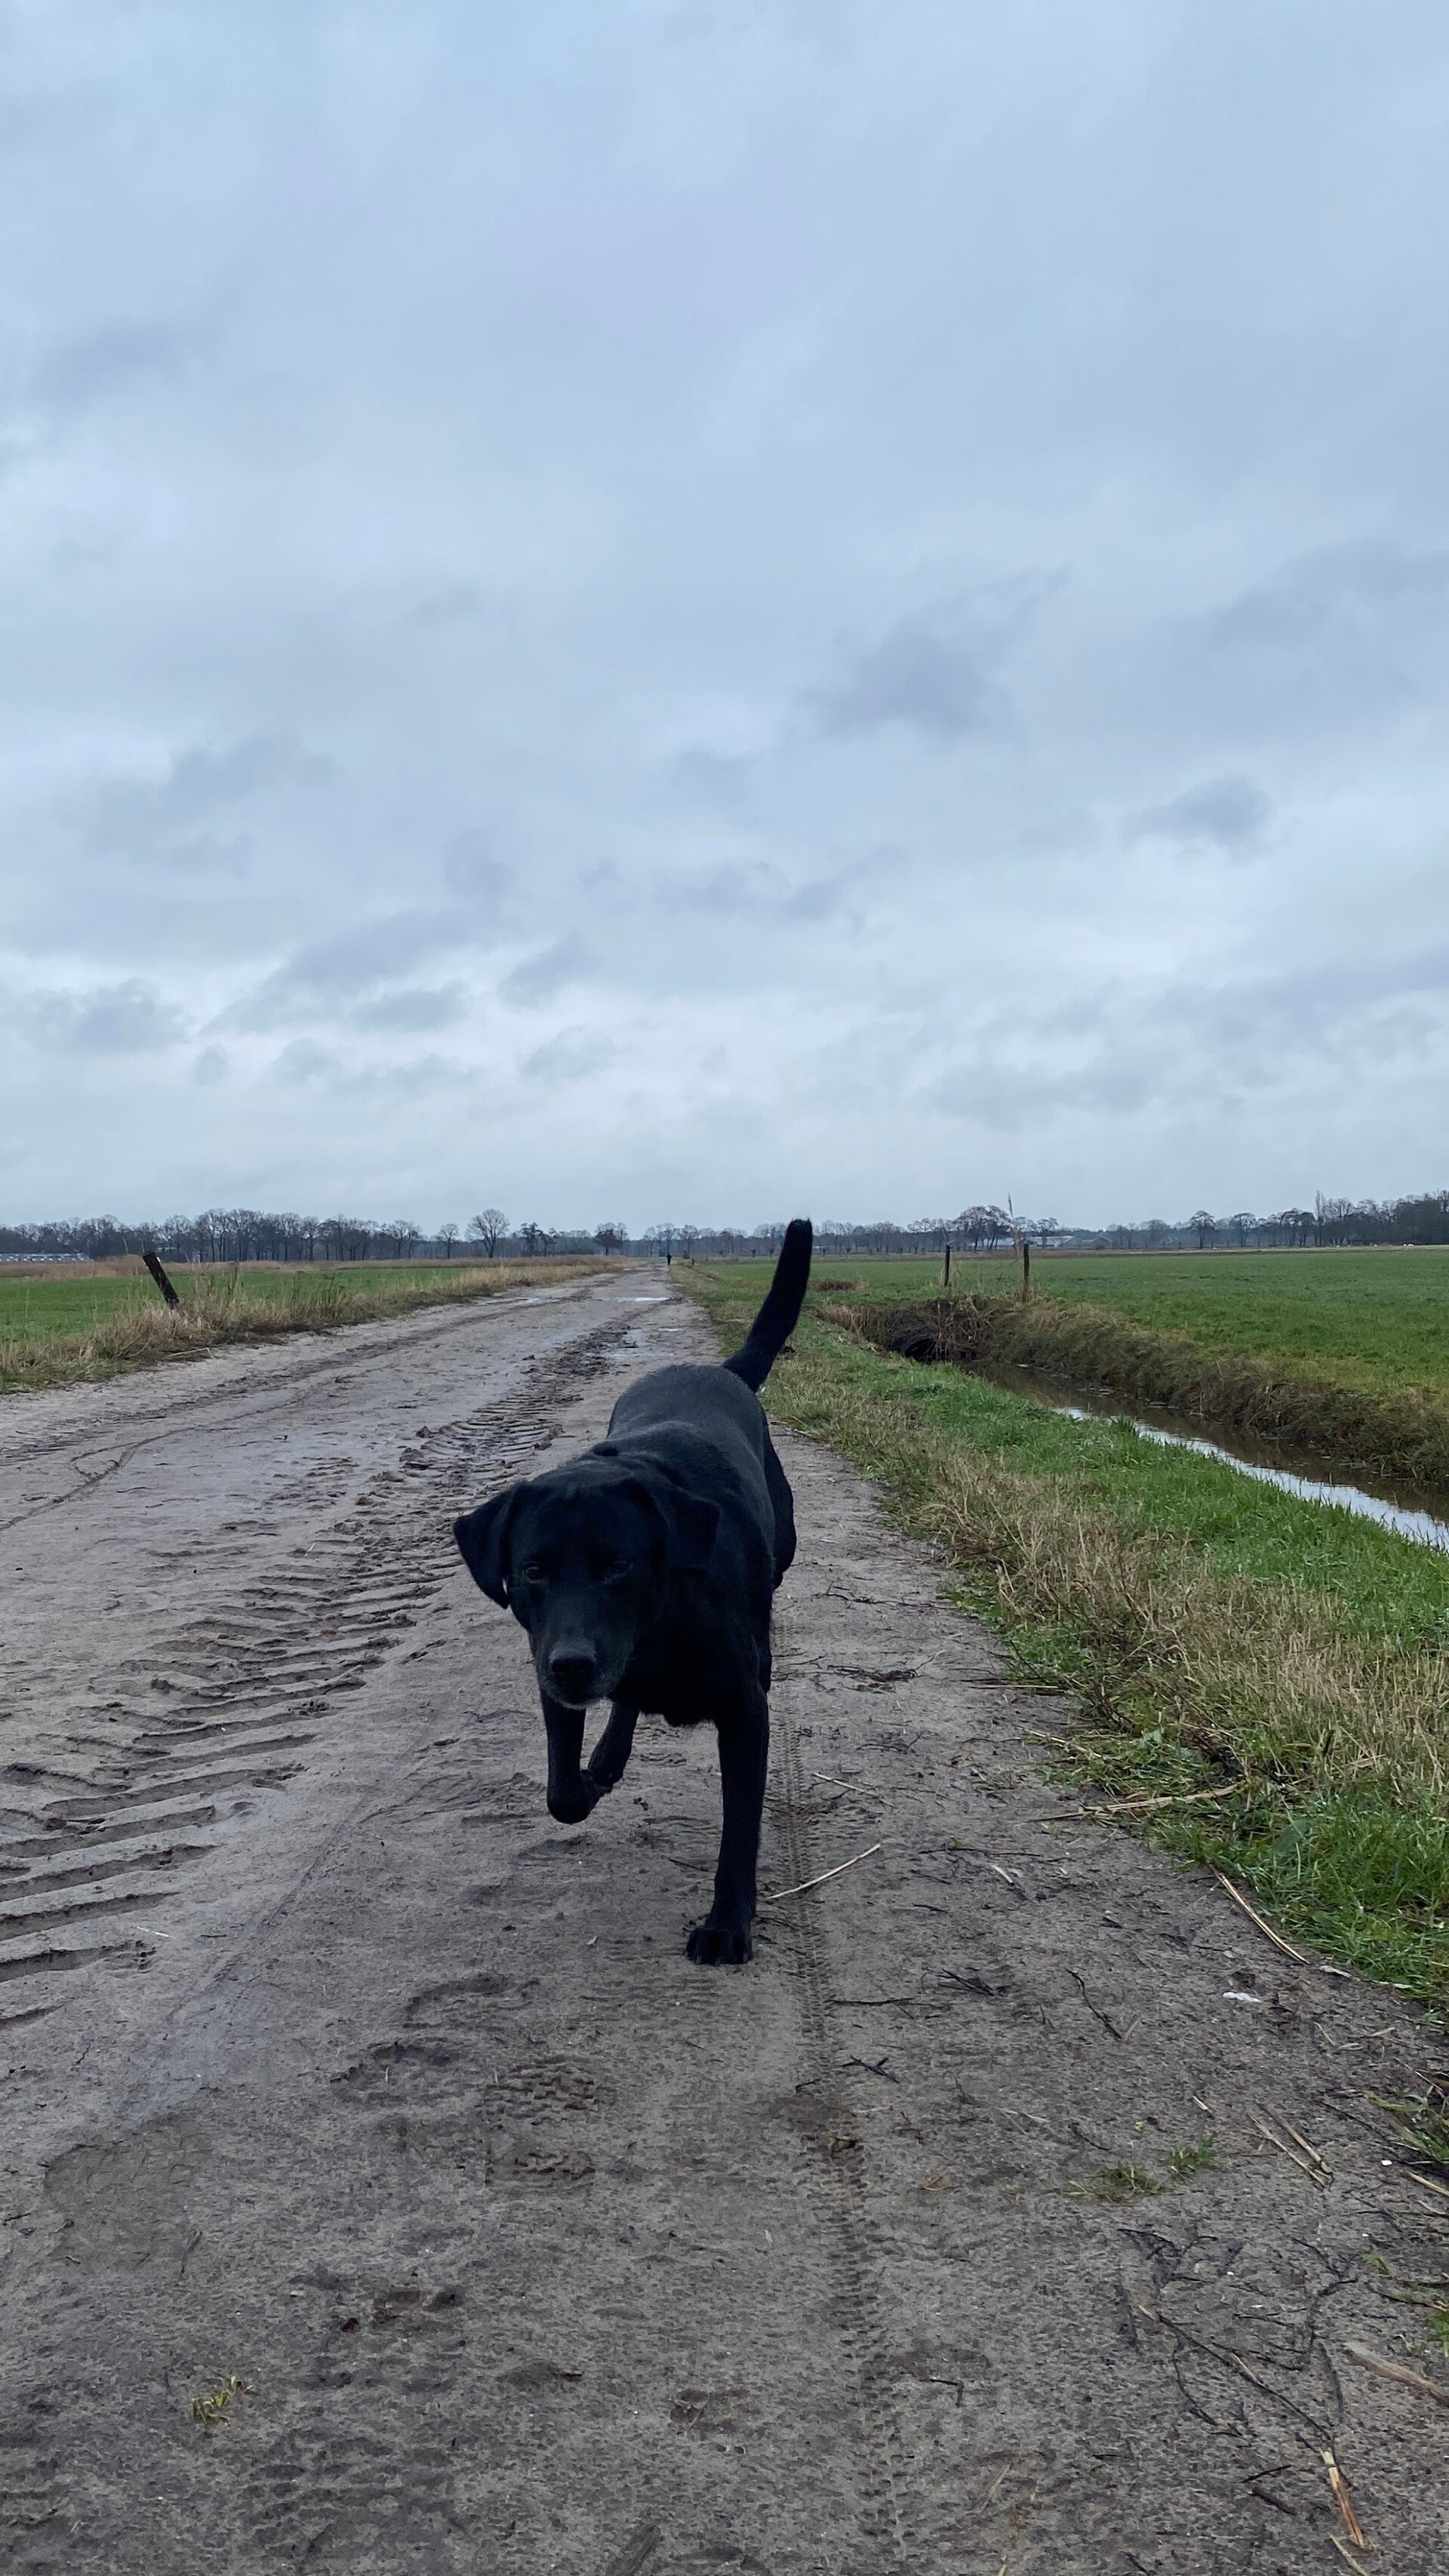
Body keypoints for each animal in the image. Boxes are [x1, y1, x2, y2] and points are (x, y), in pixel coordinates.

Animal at [453, 1220, 812, 1964]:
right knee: (623, 1708)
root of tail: (720, 1370)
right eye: (532, 1570)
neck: (662, 1624)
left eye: (618, 1564)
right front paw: (587, 1780)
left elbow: (740, 1831)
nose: (573, 1663)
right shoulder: (554, 1675)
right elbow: (561, 1791)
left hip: (783, 1550)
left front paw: (727, 1924)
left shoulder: (743, 1711)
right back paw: (609, 1755)